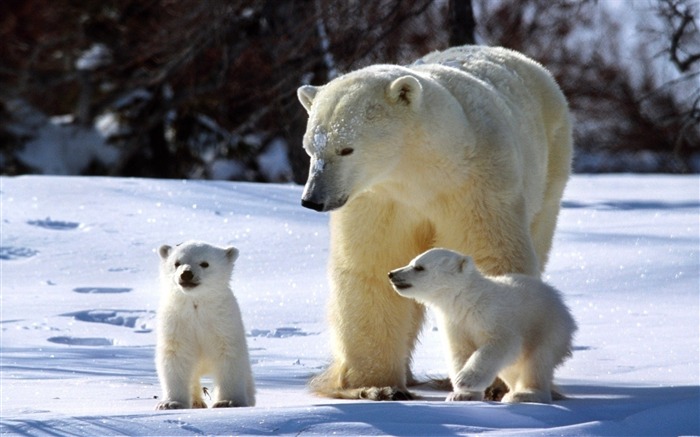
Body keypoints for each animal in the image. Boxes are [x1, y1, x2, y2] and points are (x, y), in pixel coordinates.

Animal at [156, 240, 258, 408]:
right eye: (177, 263)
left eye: (205, 263)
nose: (186, 274)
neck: (196, 304)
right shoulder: (177, 322)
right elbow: (175, 355)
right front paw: (170, 403)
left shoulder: (223, 322)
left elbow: (228, 355)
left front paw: (228, 401)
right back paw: (196, 402)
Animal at [388, 247, 576, 404]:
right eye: (411, 261)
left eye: (419, 267)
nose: (392, 273)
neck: (467, 300)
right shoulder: (455, 323)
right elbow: (460, 352)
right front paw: (461, 395)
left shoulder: (493, 315)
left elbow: (502, 343)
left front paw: (465, 380)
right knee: (512, 368)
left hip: (548, 327)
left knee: (537, 361)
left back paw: (524, 394)